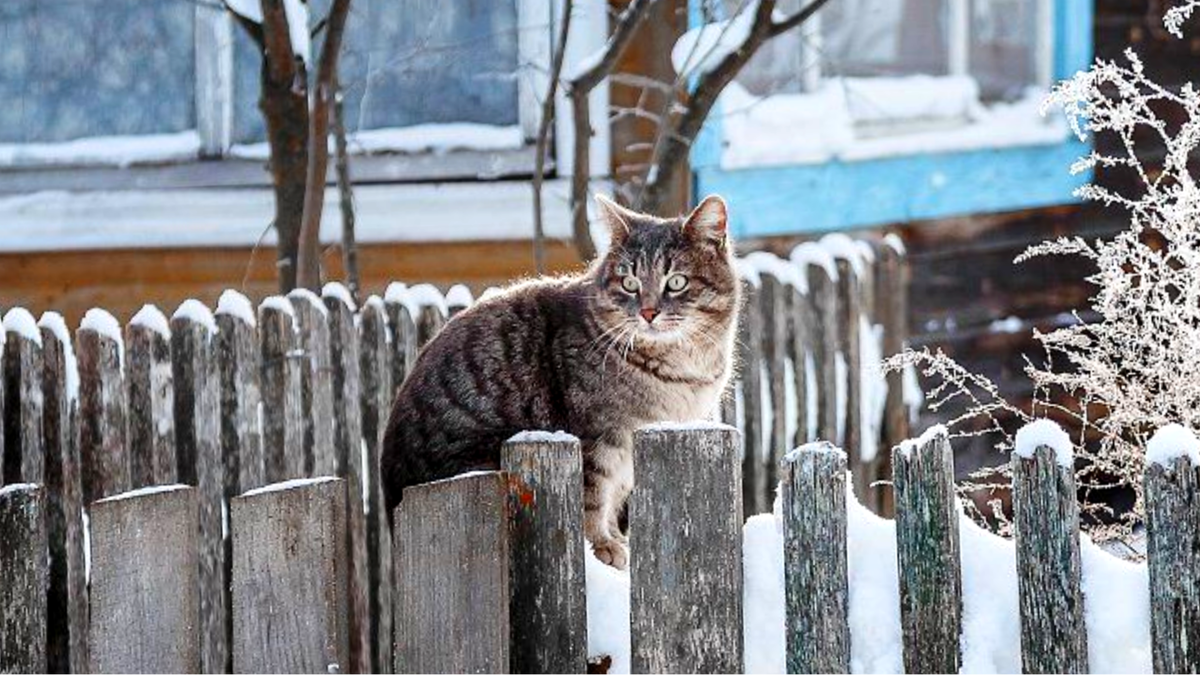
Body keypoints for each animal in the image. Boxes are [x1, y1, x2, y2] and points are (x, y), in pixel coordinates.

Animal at [384, 192, 739, 564]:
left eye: (676, 282)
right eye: (630, 283)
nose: (648, 312)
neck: (681, 366)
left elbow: (612, 499)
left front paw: (616, 540)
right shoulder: (596, 438)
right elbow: (592, 499)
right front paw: (600, 547)